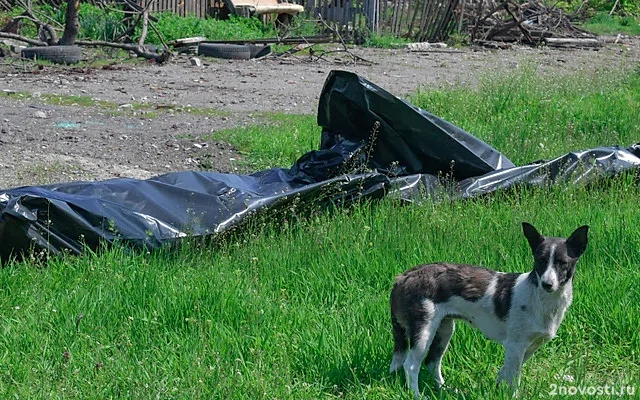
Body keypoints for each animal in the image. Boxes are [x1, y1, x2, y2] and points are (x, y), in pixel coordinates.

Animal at [388, 223, 588, 398]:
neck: (540, 298)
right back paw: (417, 395)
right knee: (411, 365)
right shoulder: (515, 346)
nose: (547, 284)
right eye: (541, 261)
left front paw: (498, 390)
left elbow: (505, 373)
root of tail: (404, 277)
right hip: (424, 331)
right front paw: (511, 396)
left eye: (563, 263)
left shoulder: (528, 348)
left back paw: (445, 390)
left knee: (432, 362)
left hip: (444, 329)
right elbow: (513, 379)